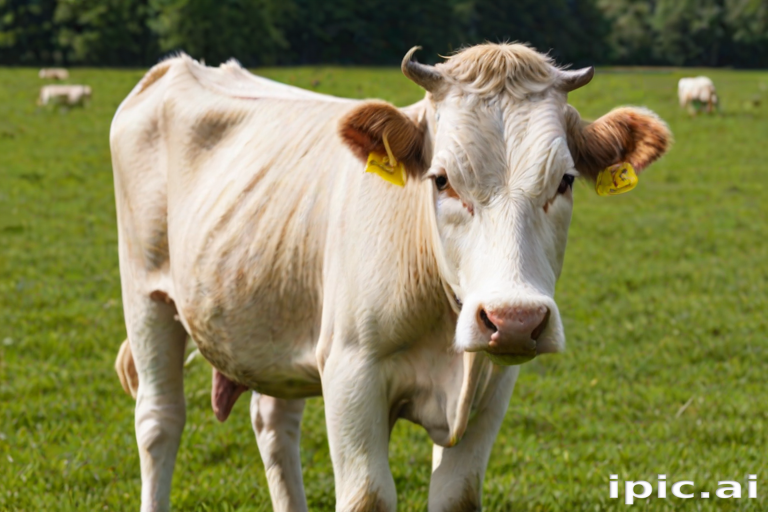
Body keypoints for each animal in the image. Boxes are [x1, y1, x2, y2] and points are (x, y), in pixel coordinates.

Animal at [110, 43, 671, 511]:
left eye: (566, 180)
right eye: (441, 180)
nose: (513, 319)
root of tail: (178, 67)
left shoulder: (494, 385)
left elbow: (457, 497)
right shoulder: (351, 371)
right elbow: (367, 497)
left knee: (273, 425)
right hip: (145, 295)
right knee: (159, 421)